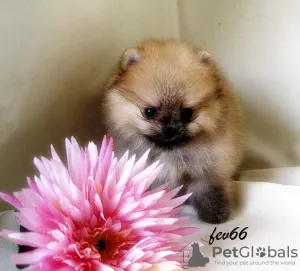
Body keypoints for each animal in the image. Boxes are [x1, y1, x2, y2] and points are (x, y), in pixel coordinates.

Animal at [102, 39, 244, 223]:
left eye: (187, 113)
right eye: (149, 112)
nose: (170, 130)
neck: (171, 152)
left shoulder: (208, 166)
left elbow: (209, 188)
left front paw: (216, 213)